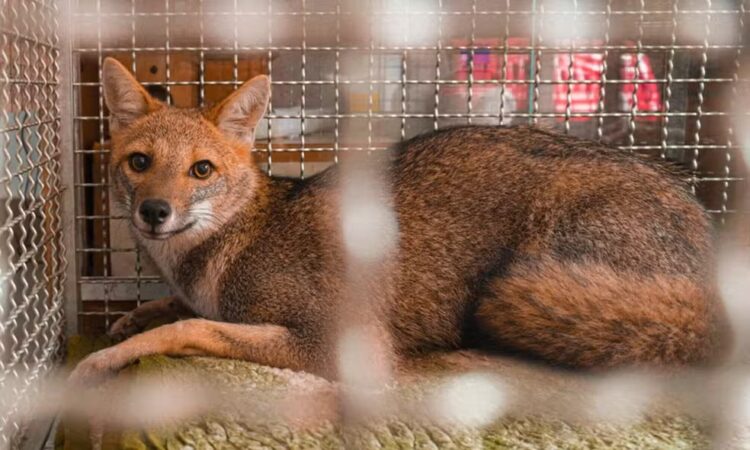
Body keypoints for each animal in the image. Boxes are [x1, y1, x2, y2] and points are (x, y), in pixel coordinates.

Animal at [70, 57, 727, 384]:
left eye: (200, 170)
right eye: (139, 162)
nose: (155, 212)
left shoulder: (341, 342)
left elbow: (195, 329)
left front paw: (104, 360)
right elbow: (178, 310)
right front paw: (131, 317)